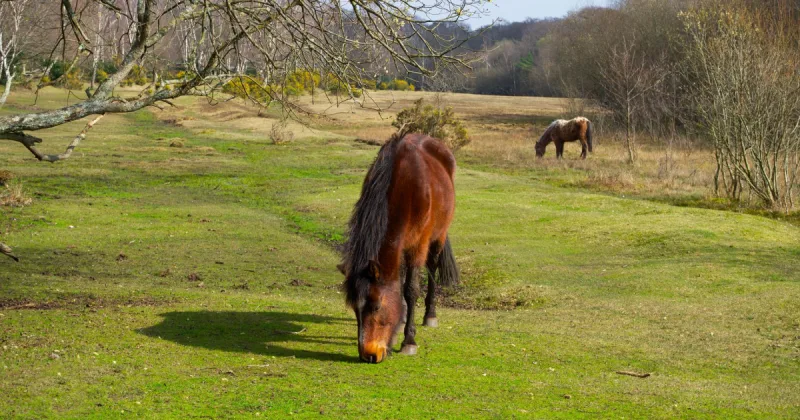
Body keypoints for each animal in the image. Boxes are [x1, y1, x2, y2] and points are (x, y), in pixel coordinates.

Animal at [338, 133, 459, 363]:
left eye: (376, 306)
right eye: (354, 309)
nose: (369, 355)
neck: (405, 189)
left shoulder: (418, 247)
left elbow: (411, 289)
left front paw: (409, 341)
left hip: (438, 237)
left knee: (432, 267)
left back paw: (430, 315)